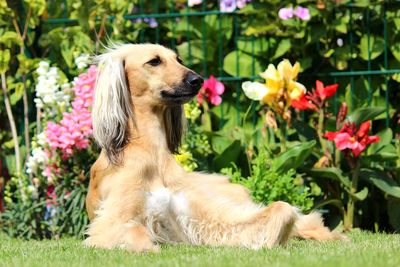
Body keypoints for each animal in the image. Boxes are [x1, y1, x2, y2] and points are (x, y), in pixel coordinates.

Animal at [83, 44, 344, 253]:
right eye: (154, 61)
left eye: (178, 58)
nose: (197, 80)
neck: (153, 154)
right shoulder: (110, 222)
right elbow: (133, 232)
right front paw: (149, 247)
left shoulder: (197, 215)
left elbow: (282, 209)